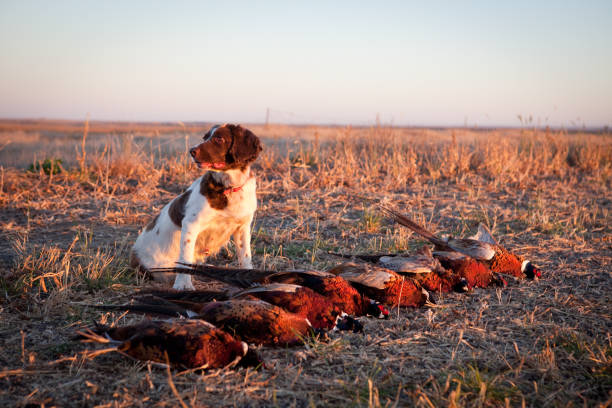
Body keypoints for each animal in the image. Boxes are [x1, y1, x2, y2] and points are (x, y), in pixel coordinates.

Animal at [130, 124, 262, 290]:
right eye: (204, 138)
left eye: (219, 138)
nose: (192, 151)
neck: (228, 187)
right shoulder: (191, 224)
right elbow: (185, 258)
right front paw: (183, 285)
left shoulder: (242, 227)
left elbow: (245, 256)